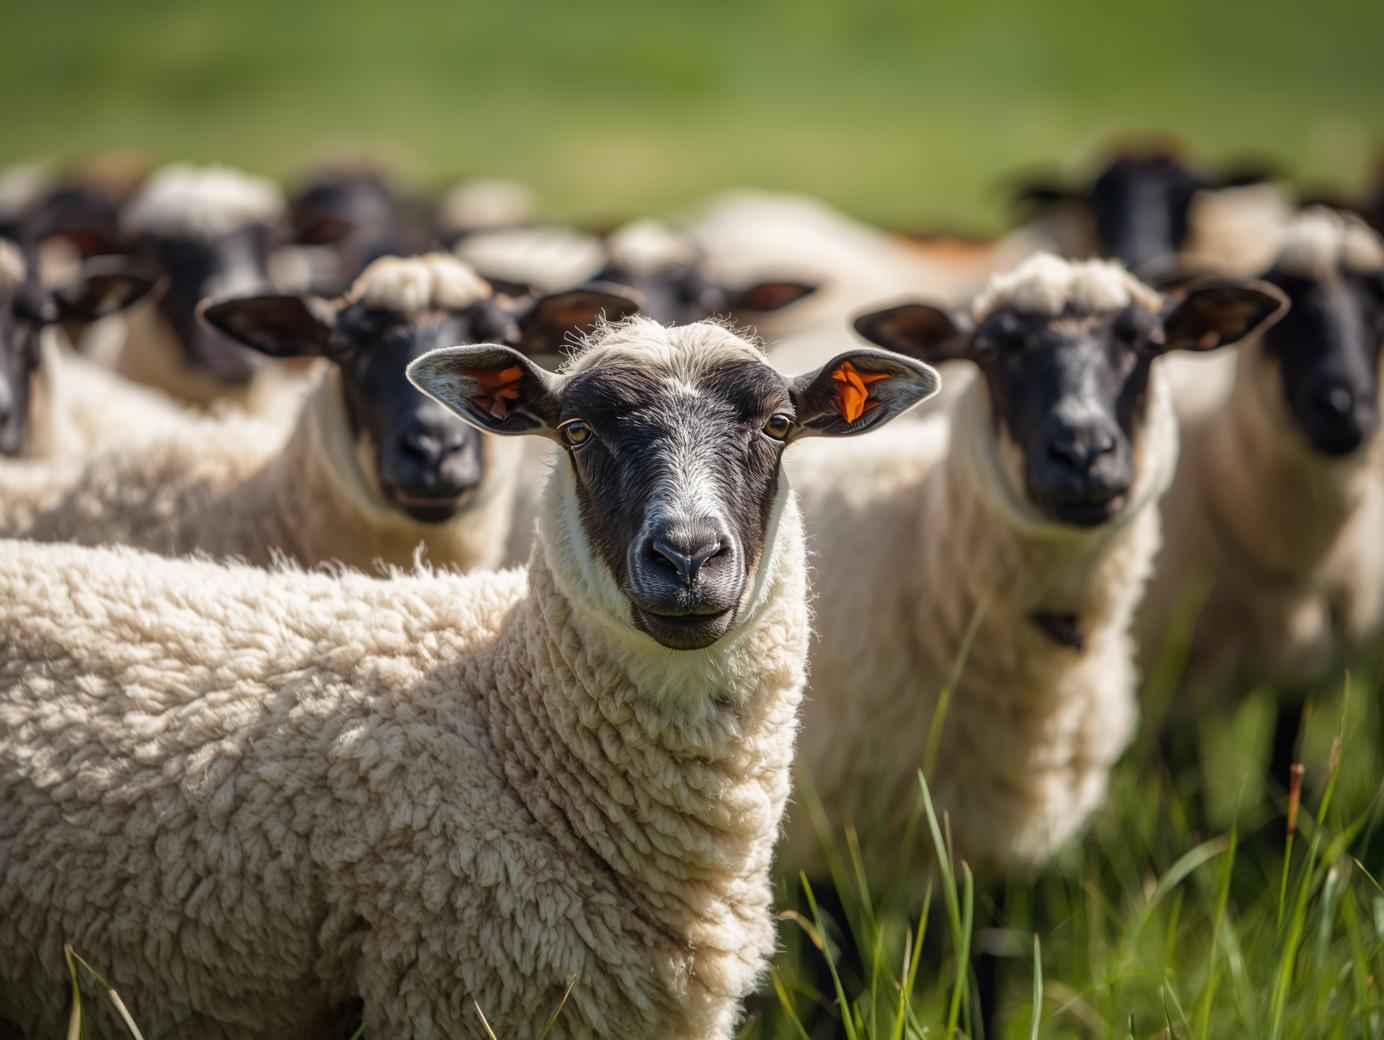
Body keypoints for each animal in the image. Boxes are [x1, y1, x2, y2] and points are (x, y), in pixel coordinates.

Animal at [1137, 207, 1384, 785]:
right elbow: (1182, 782)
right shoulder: (1174, 675)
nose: (1343, 408)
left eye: (1379, 305)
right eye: (1285, 309)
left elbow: (1283, 762)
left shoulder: (1308, 670)